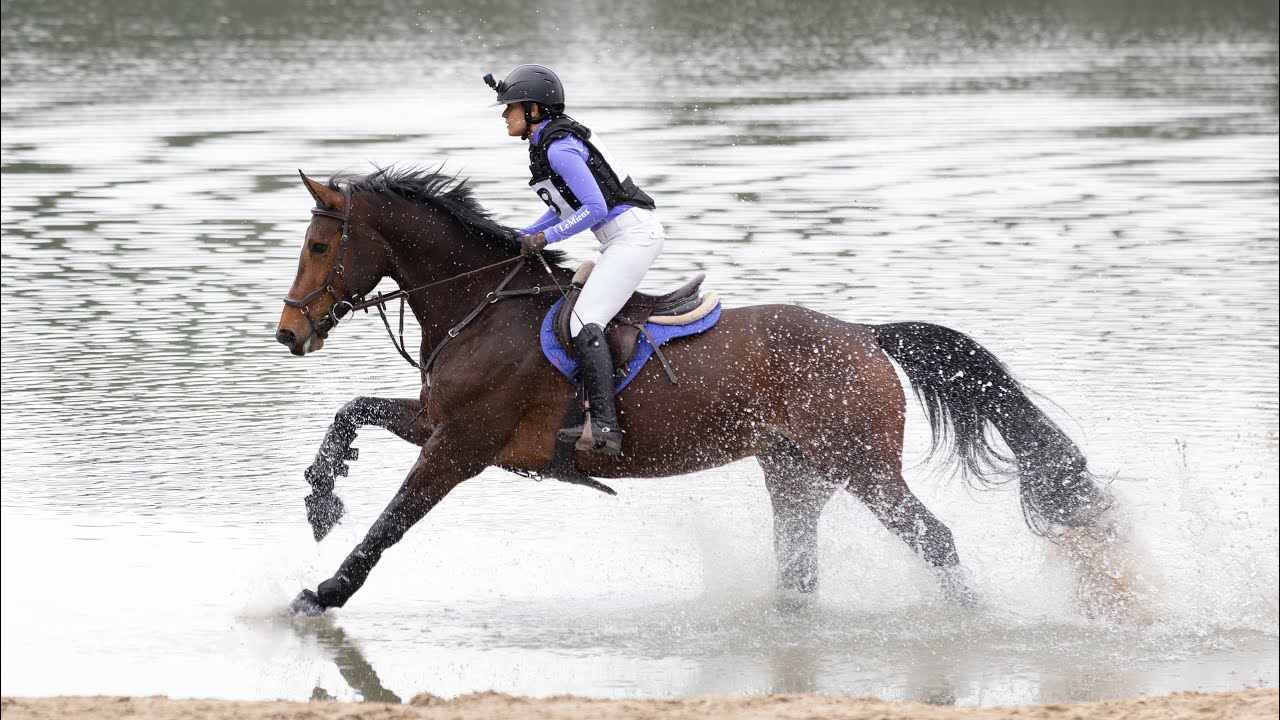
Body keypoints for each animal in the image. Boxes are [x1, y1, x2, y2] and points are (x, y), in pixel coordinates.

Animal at [274, 167, 1113, 616]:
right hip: (795, 470)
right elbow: (352, 413)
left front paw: (324, 592)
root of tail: (866, 333)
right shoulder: (437, 421)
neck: (479, 302)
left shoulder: (461, 445)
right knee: (801, 566)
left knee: (933, 538)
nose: (288, 336)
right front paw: (319, 495)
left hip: (860, 464)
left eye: (318, 246)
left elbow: (391, 523)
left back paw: (977, 620)